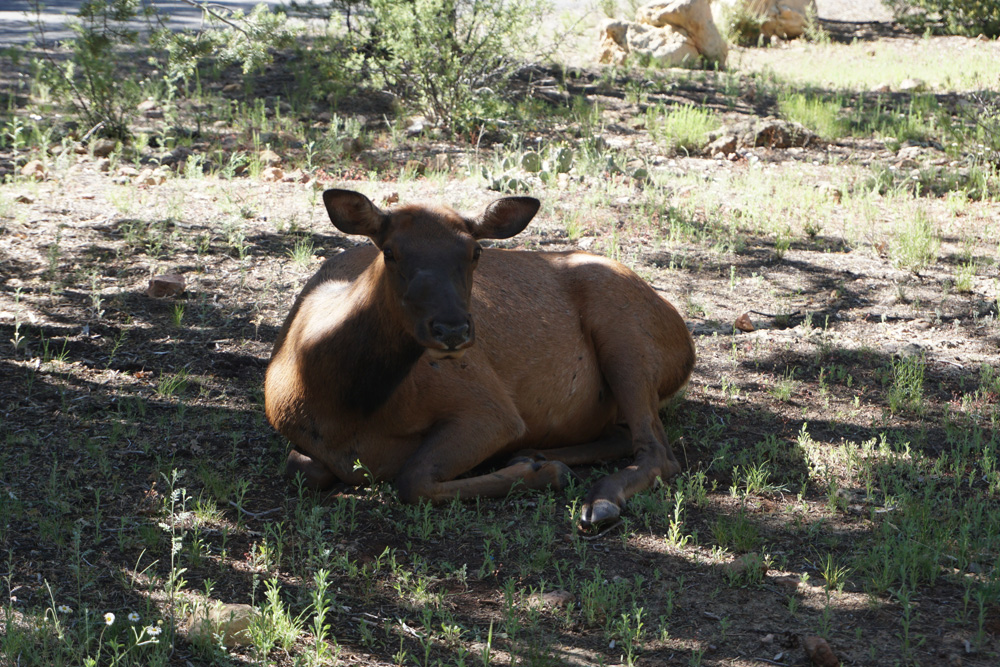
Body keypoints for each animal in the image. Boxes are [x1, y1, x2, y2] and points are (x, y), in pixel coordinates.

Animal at [265, 189, 695, 528]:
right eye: (390, 251)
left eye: (475, 251)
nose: (452, 329)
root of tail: (683, 336)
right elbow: (302, 468)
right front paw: (539, 465)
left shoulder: (490, 408)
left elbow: (412, 479)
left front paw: (546, 474)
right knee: (627, 435)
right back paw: (537, 455)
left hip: (624, 332)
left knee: (660, 452)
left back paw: (596, 501)